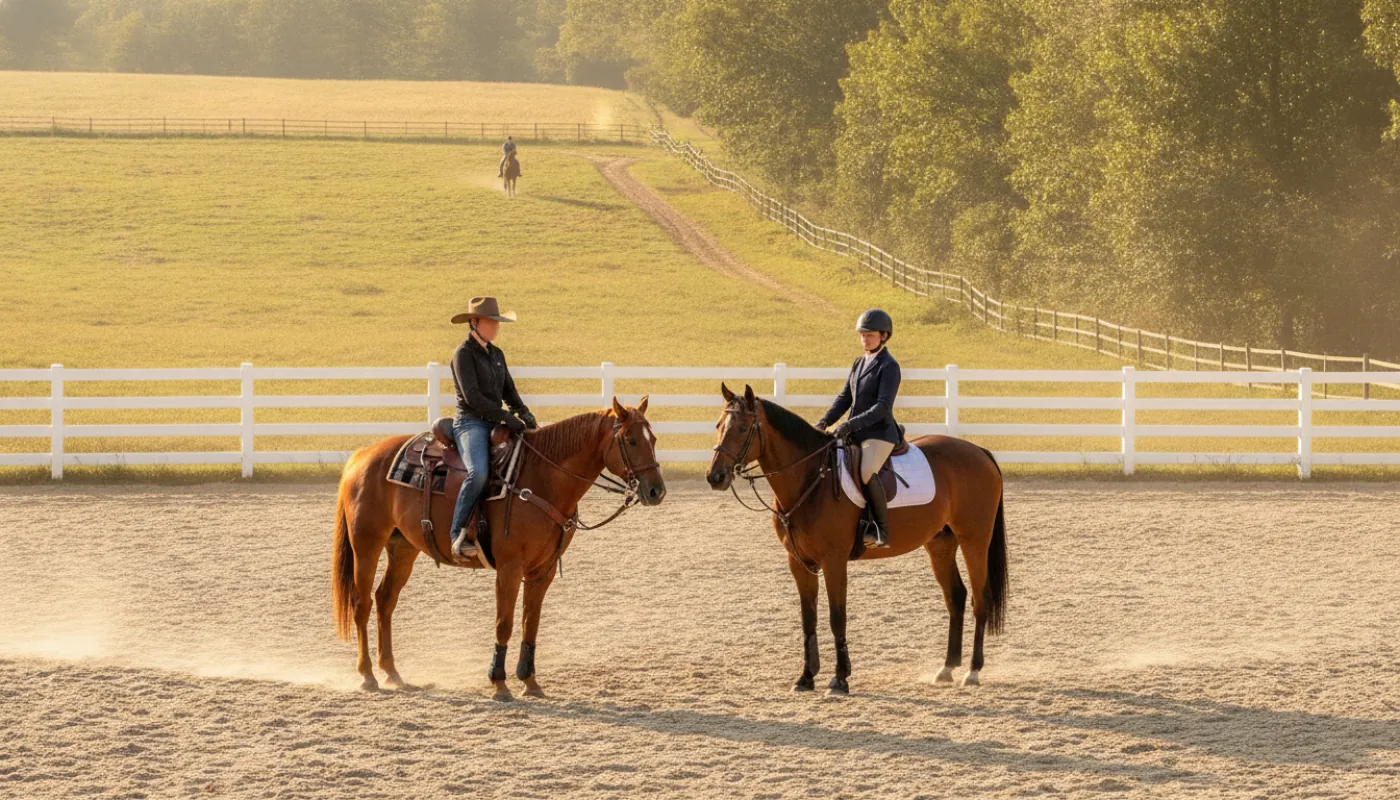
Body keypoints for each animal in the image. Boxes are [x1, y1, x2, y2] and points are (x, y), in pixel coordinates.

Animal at [332, 398, 665, 700]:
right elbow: (504, 624)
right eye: (631, 440)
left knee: (385, 600)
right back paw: (368, 676)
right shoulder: (509, 567)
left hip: (402, 548)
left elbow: (531, 624)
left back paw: (392, 673)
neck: (541, 478)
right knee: (362, 604)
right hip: (366, 545)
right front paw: (499, 683)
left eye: (653, 439)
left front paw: (530, 682)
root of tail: (361, 456)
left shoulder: (542, 570)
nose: (656, 491)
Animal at [706, 384, 1007, 695]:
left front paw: (840, 679)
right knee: (956, 597)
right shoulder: (799, 562)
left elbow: (837, 617)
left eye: (742, 428)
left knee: (980, 599)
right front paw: (806, 677)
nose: (715, 477)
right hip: (940, 545)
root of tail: (979, 451)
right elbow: (808, 619)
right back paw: (947, 668)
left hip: (974, 540)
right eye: (719, 425)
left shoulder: (834, 561)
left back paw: (972, 671)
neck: (811, 479)